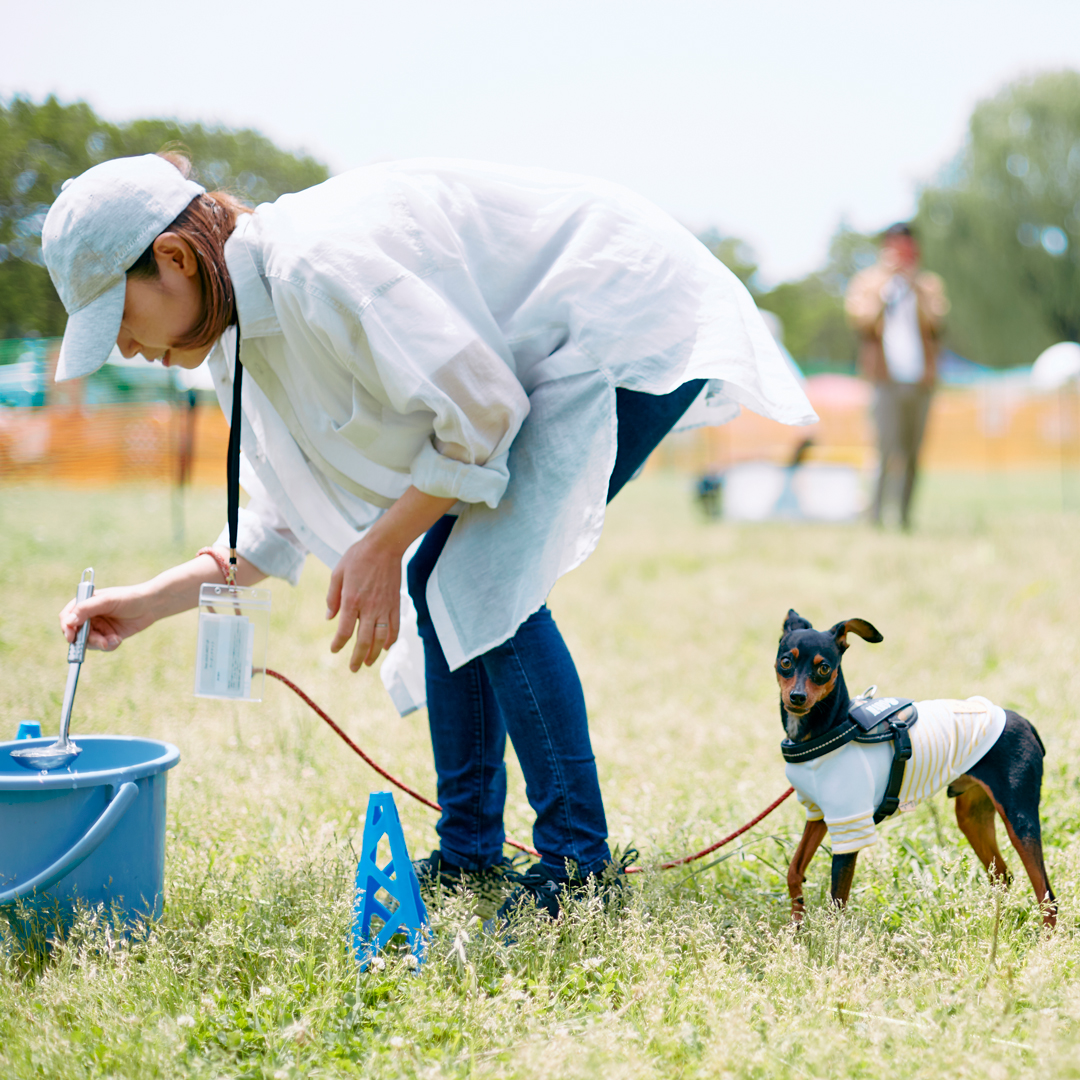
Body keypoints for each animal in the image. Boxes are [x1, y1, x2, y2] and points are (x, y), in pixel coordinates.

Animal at [777, 609, 1054, 928]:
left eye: (823, 668)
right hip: (972, 817)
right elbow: (794, 870)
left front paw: (831, 940)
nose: (797, 697)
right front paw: (796, 927)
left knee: (1047, 896)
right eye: (786, 662)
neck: (830, 729)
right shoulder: (820, 815)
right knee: (1003, 876)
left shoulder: (851, 826)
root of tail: (1023, 721)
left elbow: (837, 902)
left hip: (1019, 821)